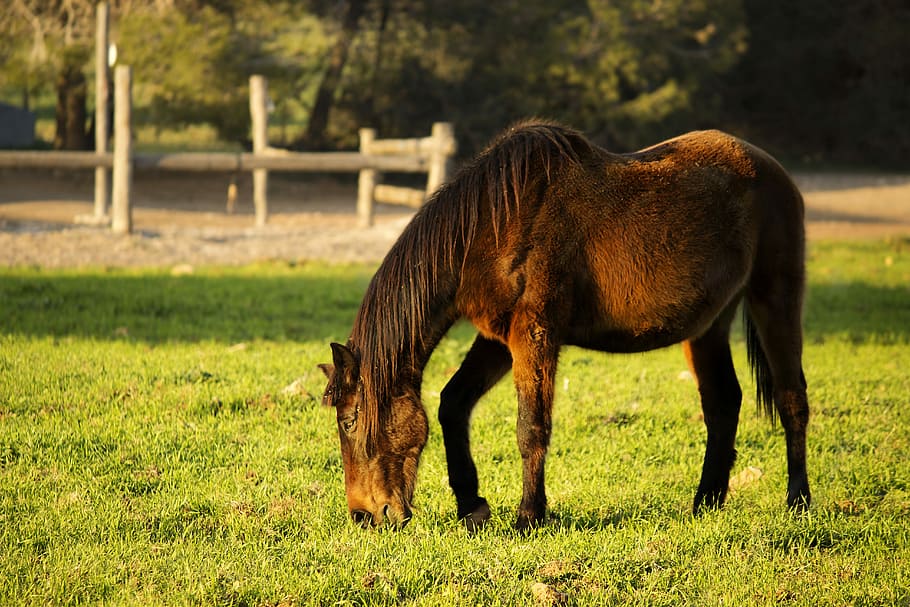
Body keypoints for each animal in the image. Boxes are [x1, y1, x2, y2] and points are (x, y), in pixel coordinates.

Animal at [320, 119, 810, 531]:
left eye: (350, 421)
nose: (363, 515)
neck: (492, 226)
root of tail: (773, 170)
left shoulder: (533, 335)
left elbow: (531, 426)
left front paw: (528, 517)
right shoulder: (498, 339)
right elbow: (452, 403)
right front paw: (472, 506)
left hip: (775, 300)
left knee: (791, 400)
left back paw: (798, 502)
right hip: (708, 326)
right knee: (723, 403)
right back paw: (704, 504)